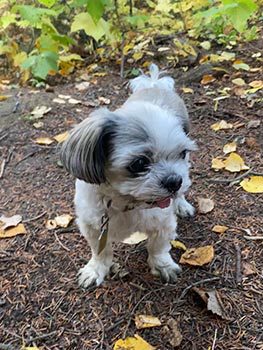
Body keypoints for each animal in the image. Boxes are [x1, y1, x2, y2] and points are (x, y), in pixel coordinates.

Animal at [60, 65, 197, 288]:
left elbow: (158, 247)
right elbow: (100, 253)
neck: (126, 202)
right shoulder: (93, 227)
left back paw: (182, 204)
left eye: (182, 152)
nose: (174, 181)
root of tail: (154, 84)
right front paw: (95, 269)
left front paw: (163, 266)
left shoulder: (163, 222)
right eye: (139, 163)